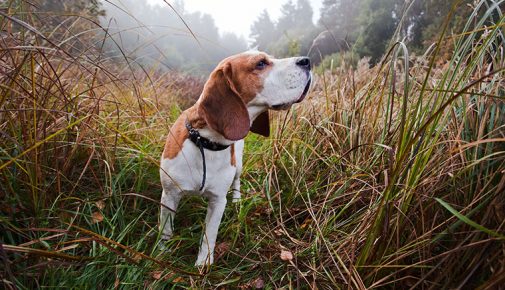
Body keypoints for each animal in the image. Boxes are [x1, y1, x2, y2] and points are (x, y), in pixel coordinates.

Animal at [160, 50, 312, 266]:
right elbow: (165, 229)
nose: (307, 61)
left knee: (237, 181)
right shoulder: (169, 194)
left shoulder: (218, 201)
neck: (206, 142)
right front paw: (162, 251)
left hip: (238, 165)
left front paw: (203, 263)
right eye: (260, 63)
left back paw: (237, 200)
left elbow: (210, 234)